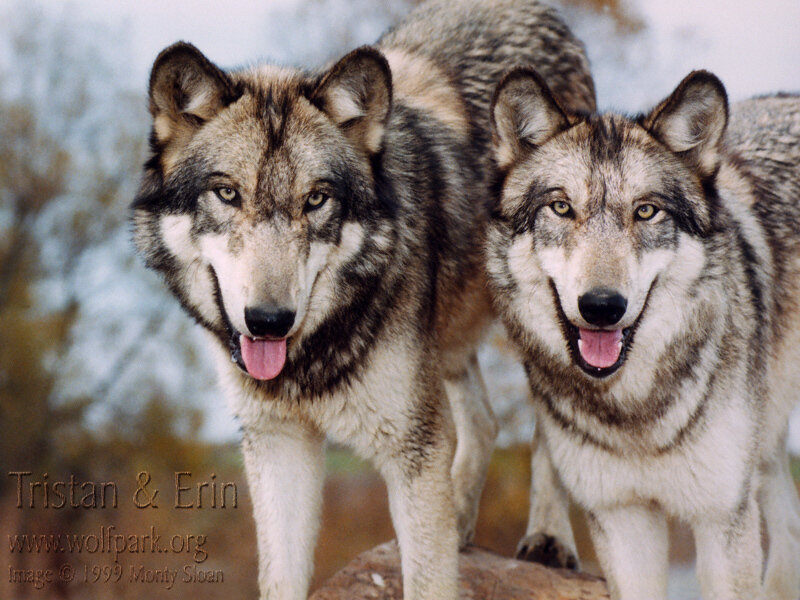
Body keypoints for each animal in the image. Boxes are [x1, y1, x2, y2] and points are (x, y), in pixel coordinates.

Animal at [130, 1, 595, 598]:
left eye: (316, 200)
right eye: (227, 193)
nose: (269, 321)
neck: (313, 354)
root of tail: (536, 10)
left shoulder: (413, 449)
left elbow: (429, 580)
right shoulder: (279, 442)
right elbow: (281, 578)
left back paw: (548, 539)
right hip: (445, 346)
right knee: (485, 421)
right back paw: (461, 521)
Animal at [487, 68, 800, 600]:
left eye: (646, 211)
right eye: (561, 207)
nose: (601, 307)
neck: (634, 413)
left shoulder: (722, 519)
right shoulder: (622, 519)